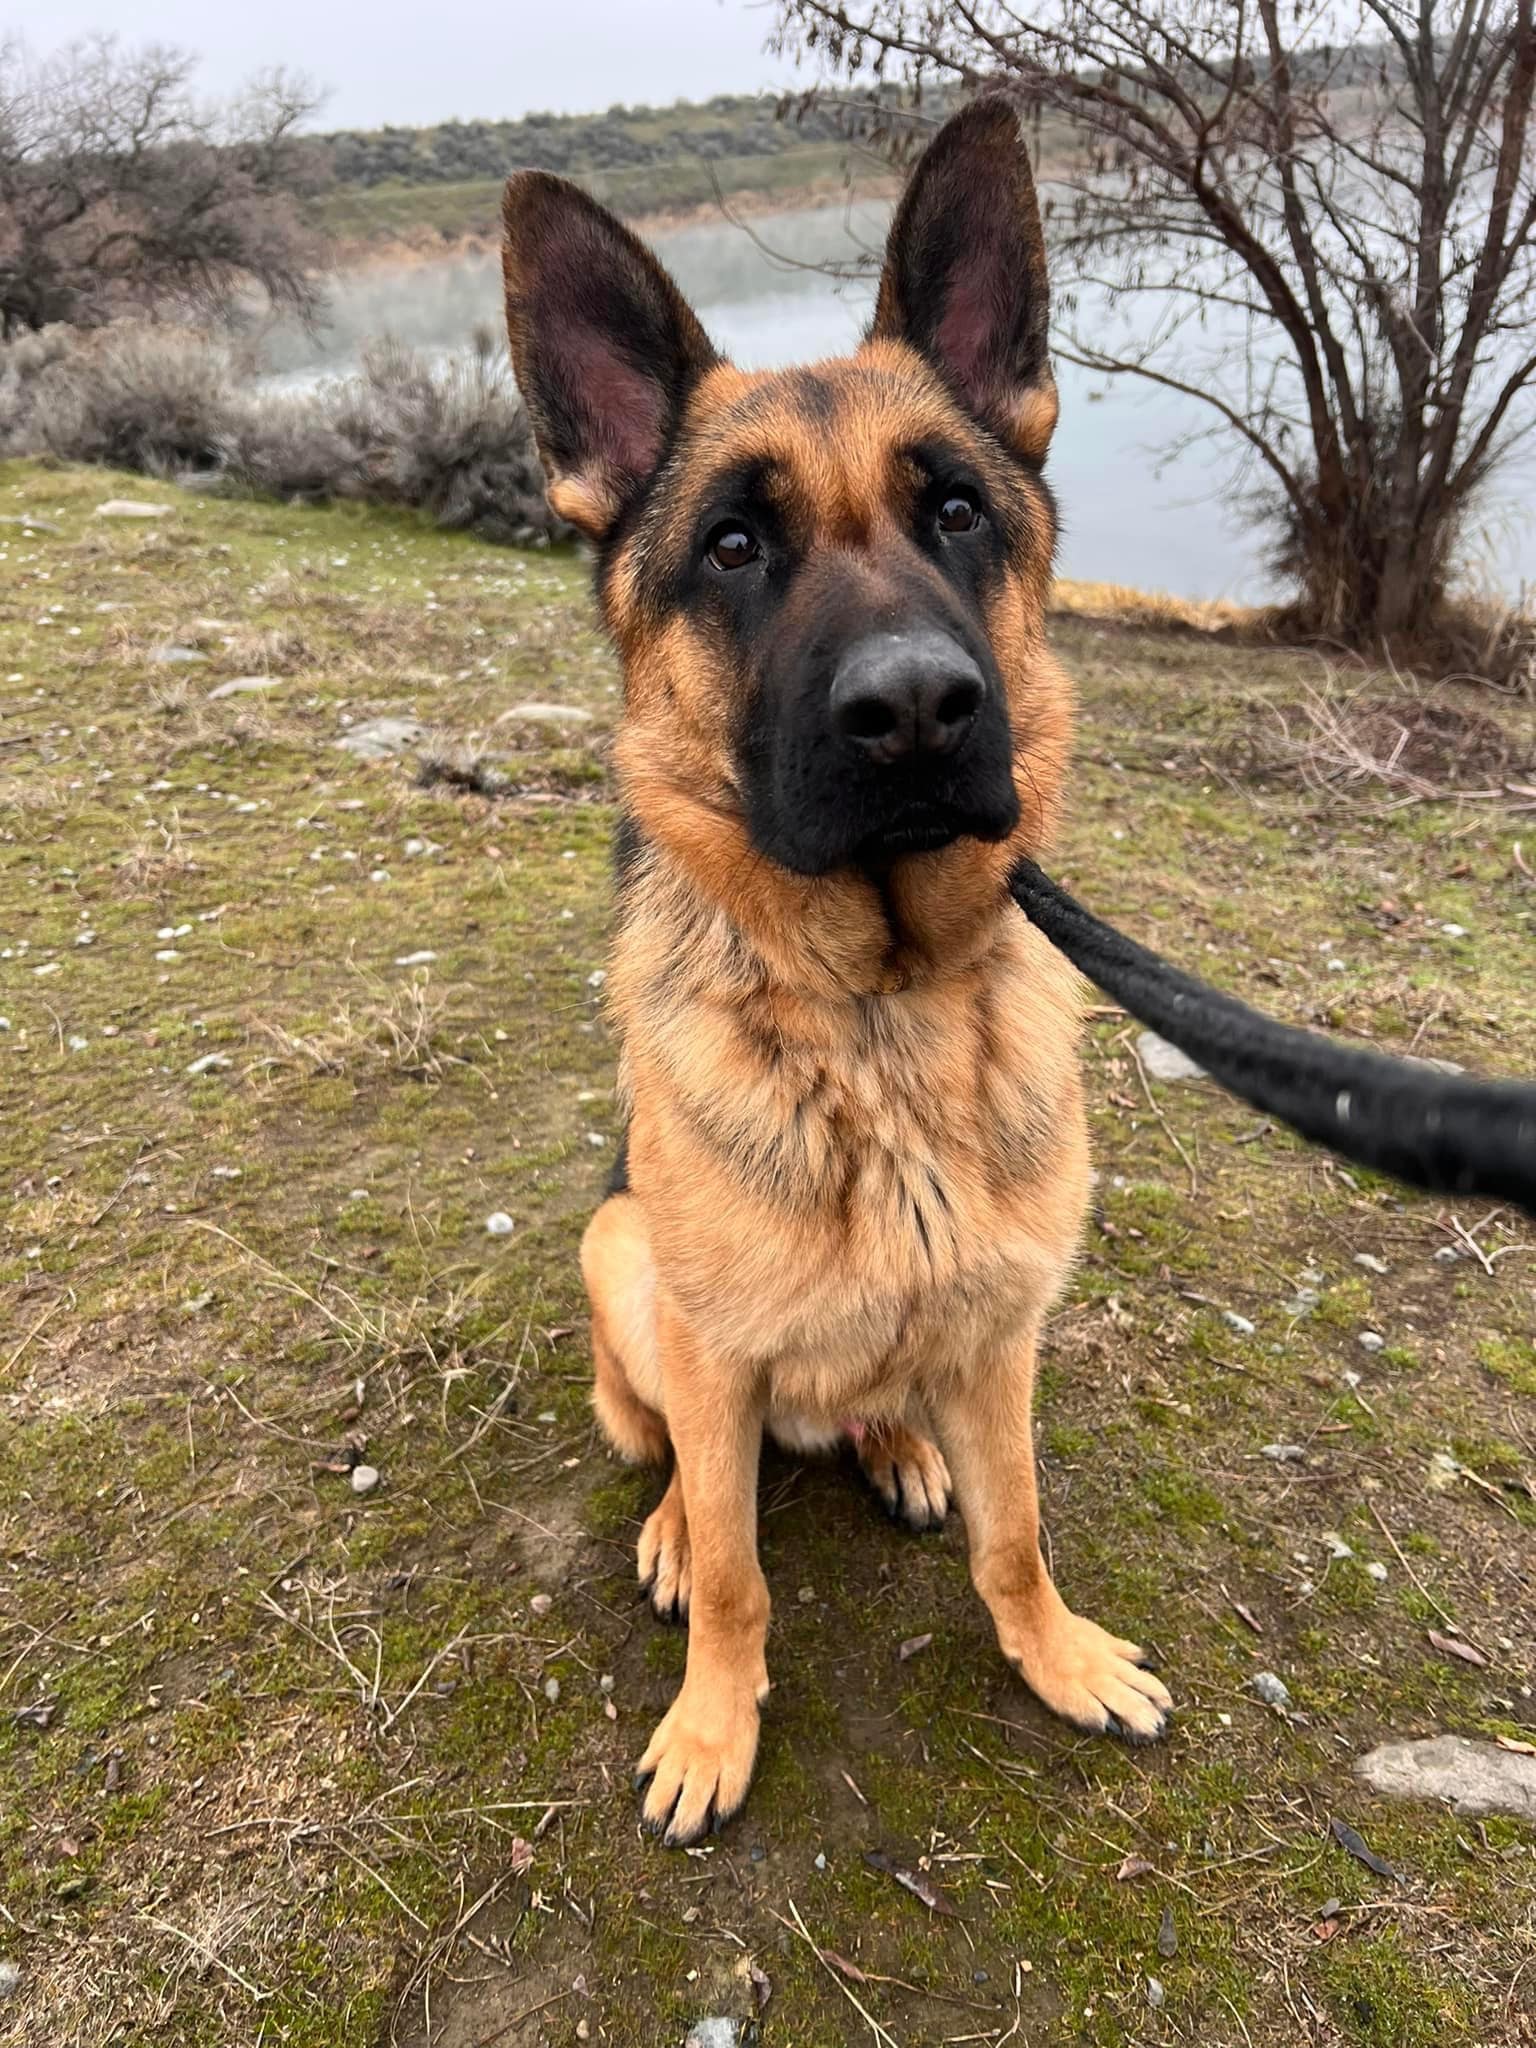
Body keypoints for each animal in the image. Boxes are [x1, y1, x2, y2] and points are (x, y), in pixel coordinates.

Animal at [505, 103, 1179, 1851]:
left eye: (956, 513)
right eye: (733, 546)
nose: (919, 710)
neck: (879, 1013)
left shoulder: (1004, 1342)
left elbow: (1017, 1533)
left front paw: (1054, 1652)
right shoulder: (710, 1351)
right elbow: (745, 1573)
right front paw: (714, 1723)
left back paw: (893, 1444)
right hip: (621, 1258)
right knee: (687, 1461)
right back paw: (680, 1526)